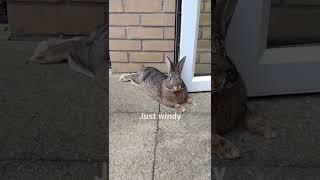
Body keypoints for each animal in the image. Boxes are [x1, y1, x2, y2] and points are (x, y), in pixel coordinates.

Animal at [212, 0, 276, 160]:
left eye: (224, 51)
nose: (233, 75)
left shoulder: (243, 110)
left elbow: (251, 117)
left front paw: (269, 129)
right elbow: (212, 138)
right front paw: (230, 150)